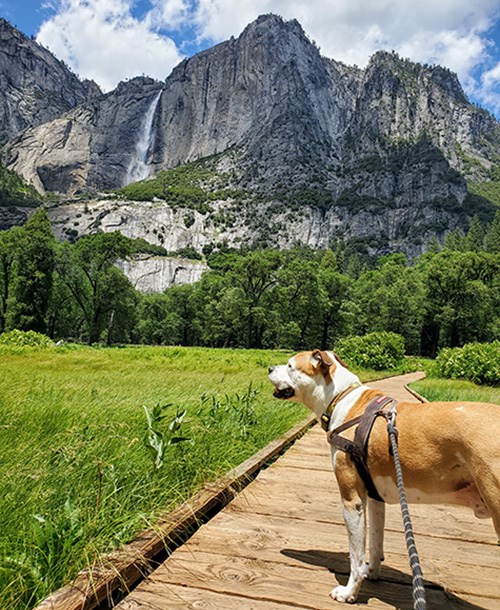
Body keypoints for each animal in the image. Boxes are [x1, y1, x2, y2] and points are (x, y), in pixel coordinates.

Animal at [270, 350, 500, 600]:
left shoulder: (352, 500)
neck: (340, 396)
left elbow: (356, 555)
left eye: (290, 365)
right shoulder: (374, 497)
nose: (270, 368)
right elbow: (374, 541)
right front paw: (372, 571)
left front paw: (349, 592)